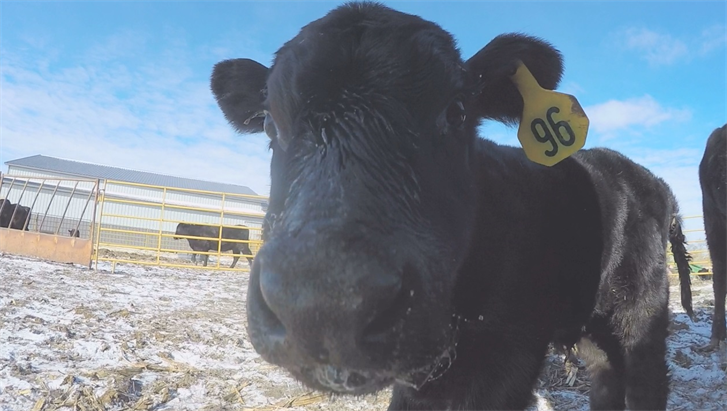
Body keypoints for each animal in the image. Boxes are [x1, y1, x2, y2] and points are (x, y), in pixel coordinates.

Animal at [210, 3, 693, 410]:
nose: (324, 303)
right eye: (269, 123)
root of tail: (651, 180)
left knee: (646, 381)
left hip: (641, 310)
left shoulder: (508, 355)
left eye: (457, 110)